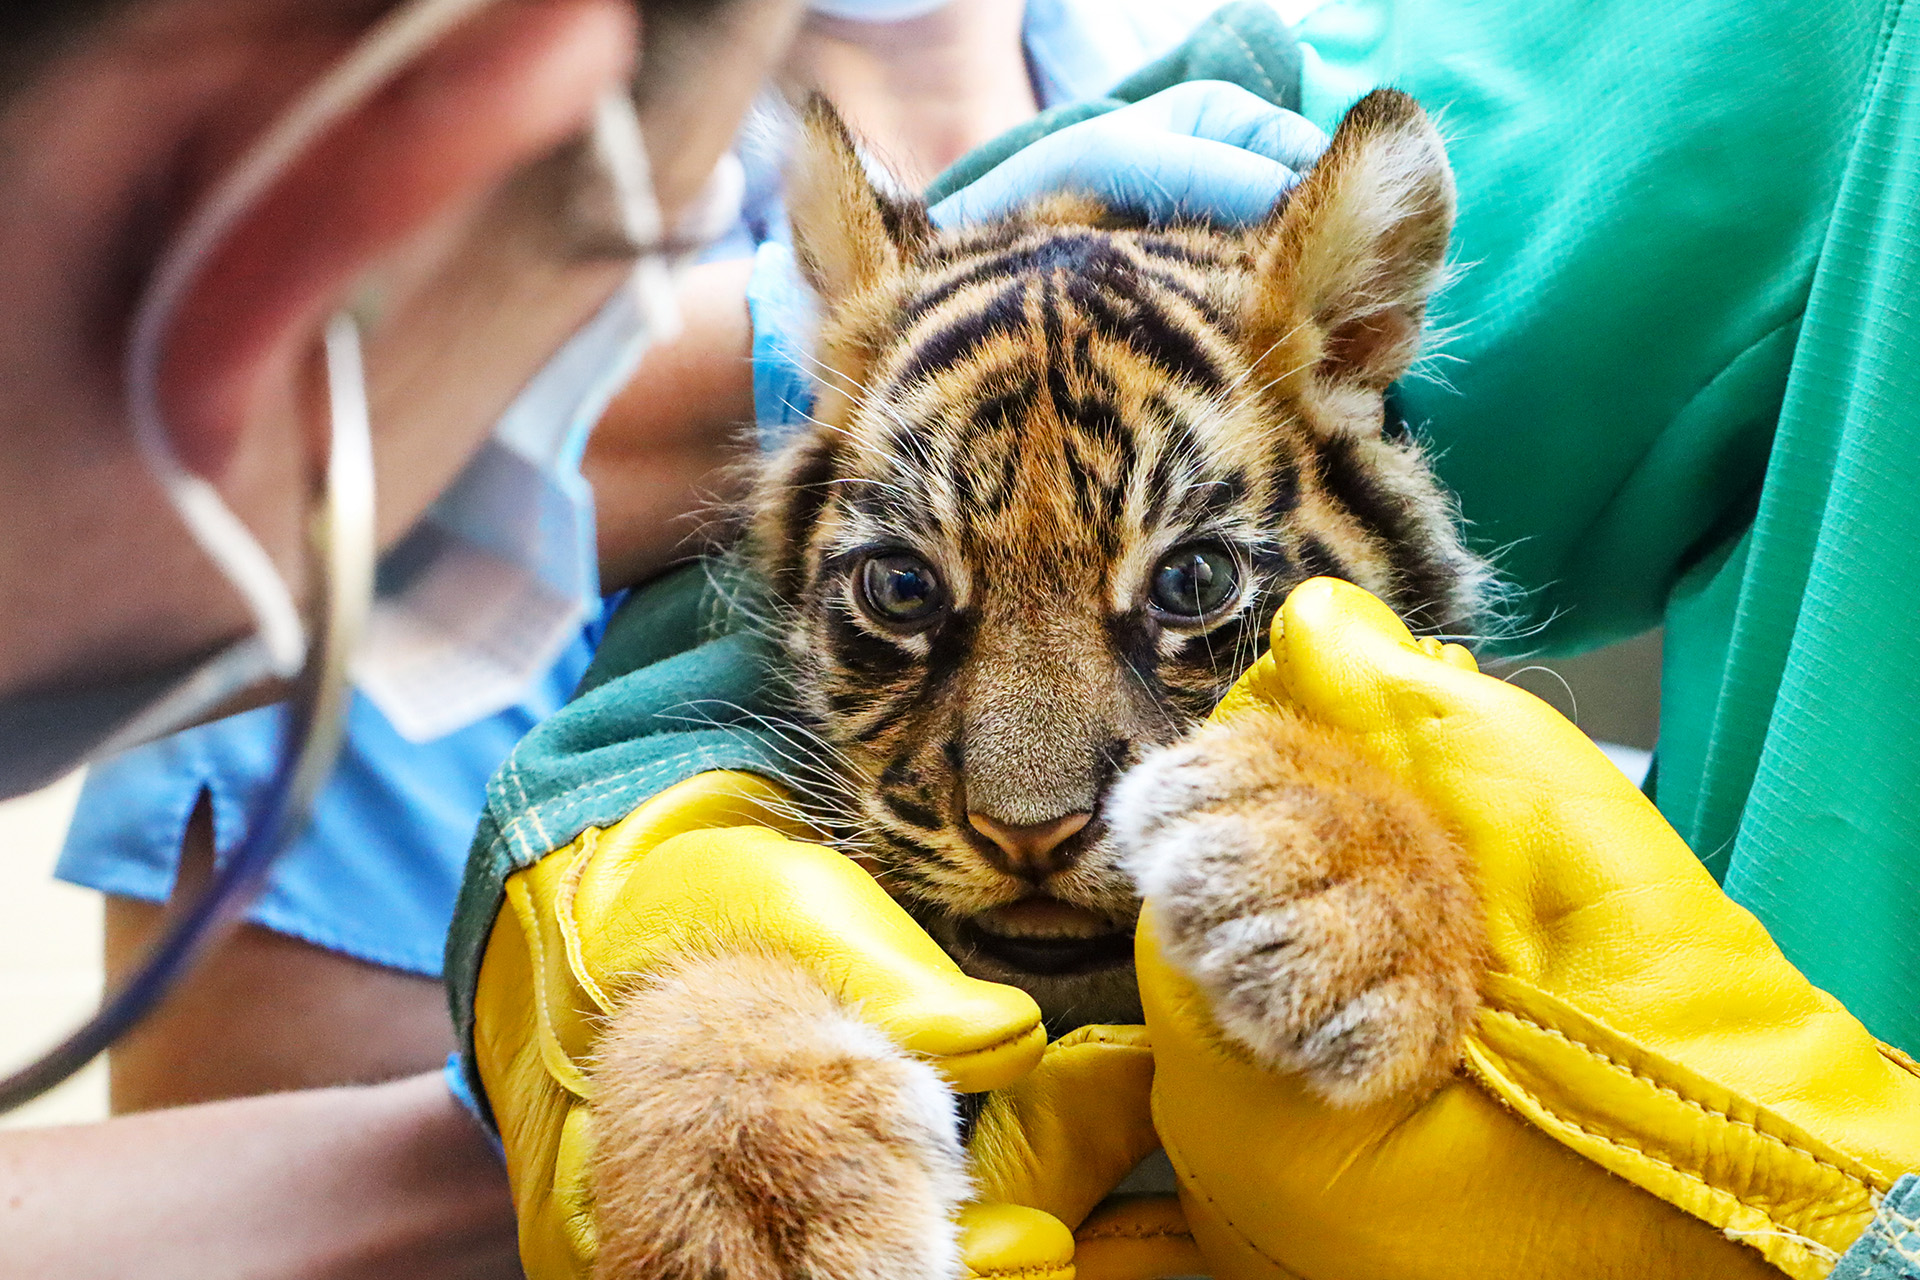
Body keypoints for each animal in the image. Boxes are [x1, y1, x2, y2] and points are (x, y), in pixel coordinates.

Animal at [585, 88, 1492, 1280]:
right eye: (904, 587)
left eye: (1193, 581)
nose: (1029, 835)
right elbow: (728, 927)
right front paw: (757, 1200)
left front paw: (1336, 904)